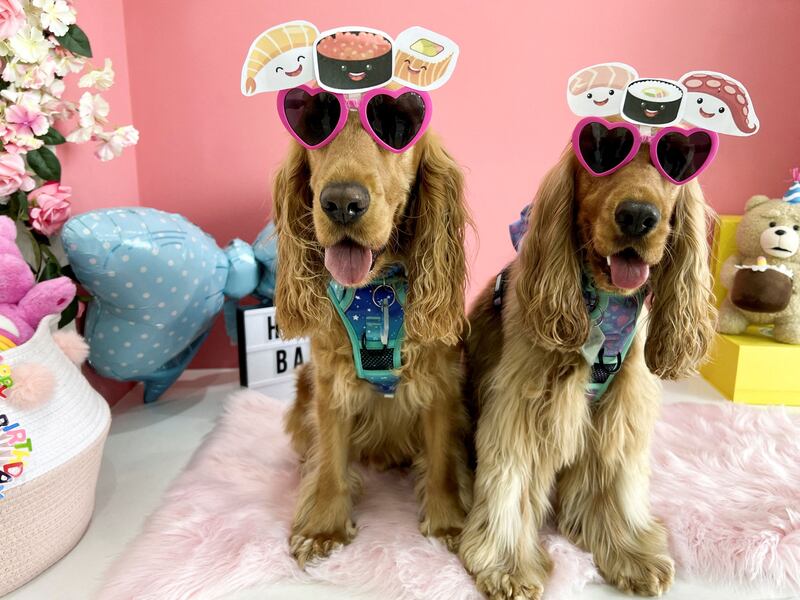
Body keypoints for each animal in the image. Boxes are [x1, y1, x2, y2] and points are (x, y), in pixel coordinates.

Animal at [274, 113, 472, 568]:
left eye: (397, 130)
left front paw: (448, 522)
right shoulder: (330, 385)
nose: (342, 202)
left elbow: (441, 460)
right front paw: (323, 527)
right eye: (315, 128)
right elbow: (331, 460)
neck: (376, 289)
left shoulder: (440, 383)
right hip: (303, 383)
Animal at [460, 146, 716, 600]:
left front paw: (630, 553)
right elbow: (510, 482)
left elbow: (614, 483)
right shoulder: (523, 407)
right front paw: (508, 566)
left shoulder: (619, 412)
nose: (637, 216)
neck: (606, 307)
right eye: (602, 158)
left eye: (672, 167)